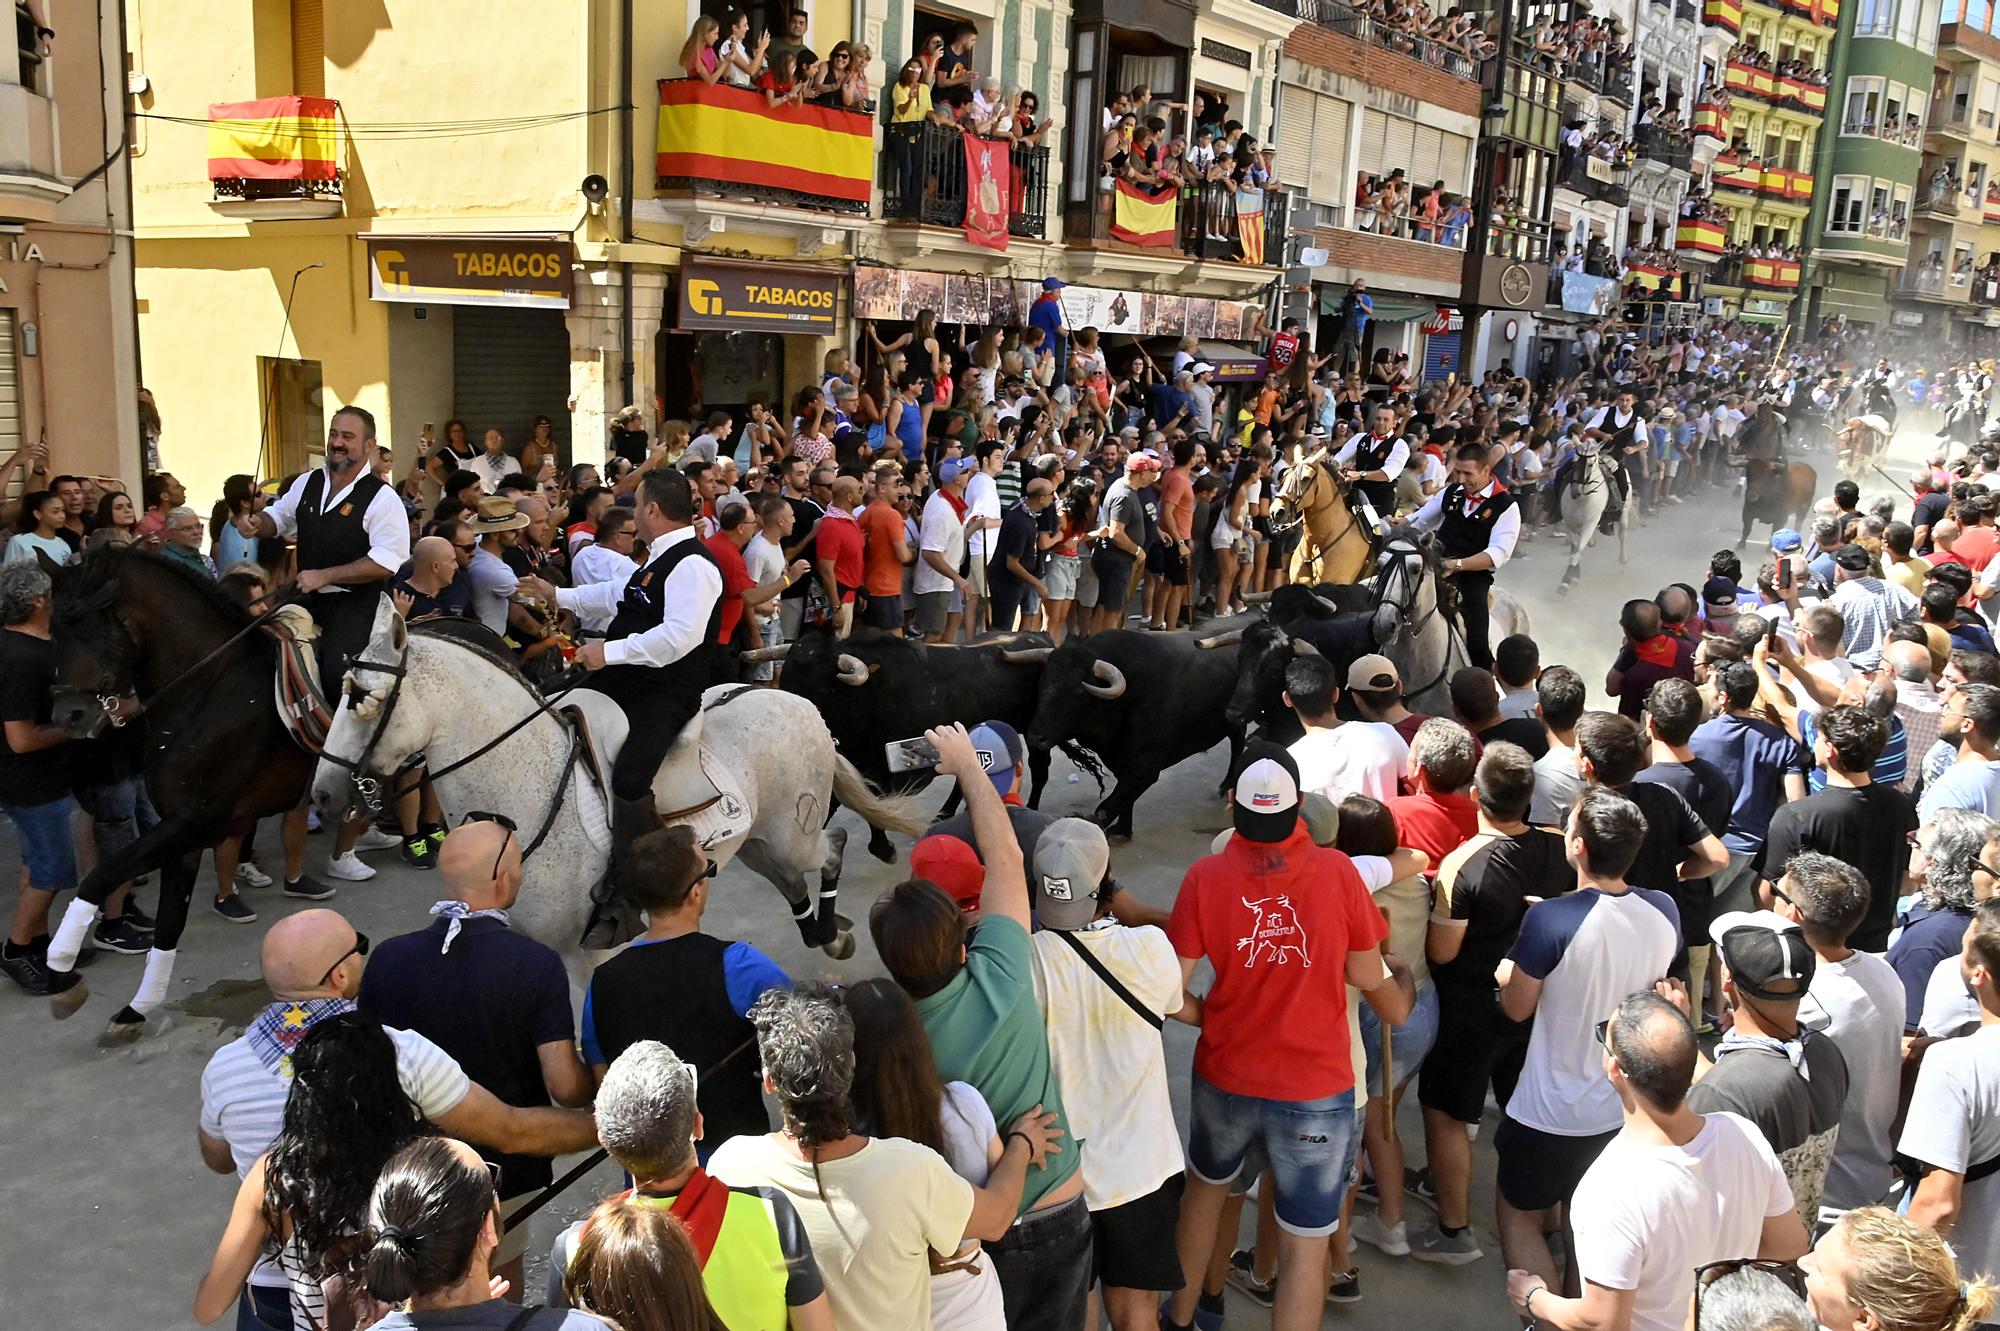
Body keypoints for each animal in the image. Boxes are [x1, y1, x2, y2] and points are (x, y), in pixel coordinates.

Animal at [45, 543, 316, 1031]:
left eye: (97, 624)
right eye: (55, 628)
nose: (69, 716)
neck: (210, 689)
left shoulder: (195, 821)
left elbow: (100, 876)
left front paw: (60, 971)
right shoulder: (181, 828)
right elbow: (170, 919)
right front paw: (138, 1007)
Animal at [310, 599, 928, 963]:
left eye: (358, 697)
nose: (322, 793)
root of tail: (798, 700)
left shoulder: (585, 951)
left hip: (788, 834)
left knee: (832, 846)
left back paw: (833, 928)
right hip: (757, 843)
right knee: (795, 879)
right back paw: (825, 932)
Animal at [1552, 437, 1632, 591]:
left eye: (1589, 464)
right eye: (1574, 461)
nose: (1575, 491)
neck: (1582, 500)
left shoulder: (1589, 524)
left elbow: (1577, 551)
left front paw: (1566, 581)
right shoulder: (1568, 523)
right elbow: (1575, 548)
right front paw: (1574, 576)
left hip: (1625, 511)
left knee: (1623, 533)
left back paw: (1623, 558)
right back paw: (1592, 542)